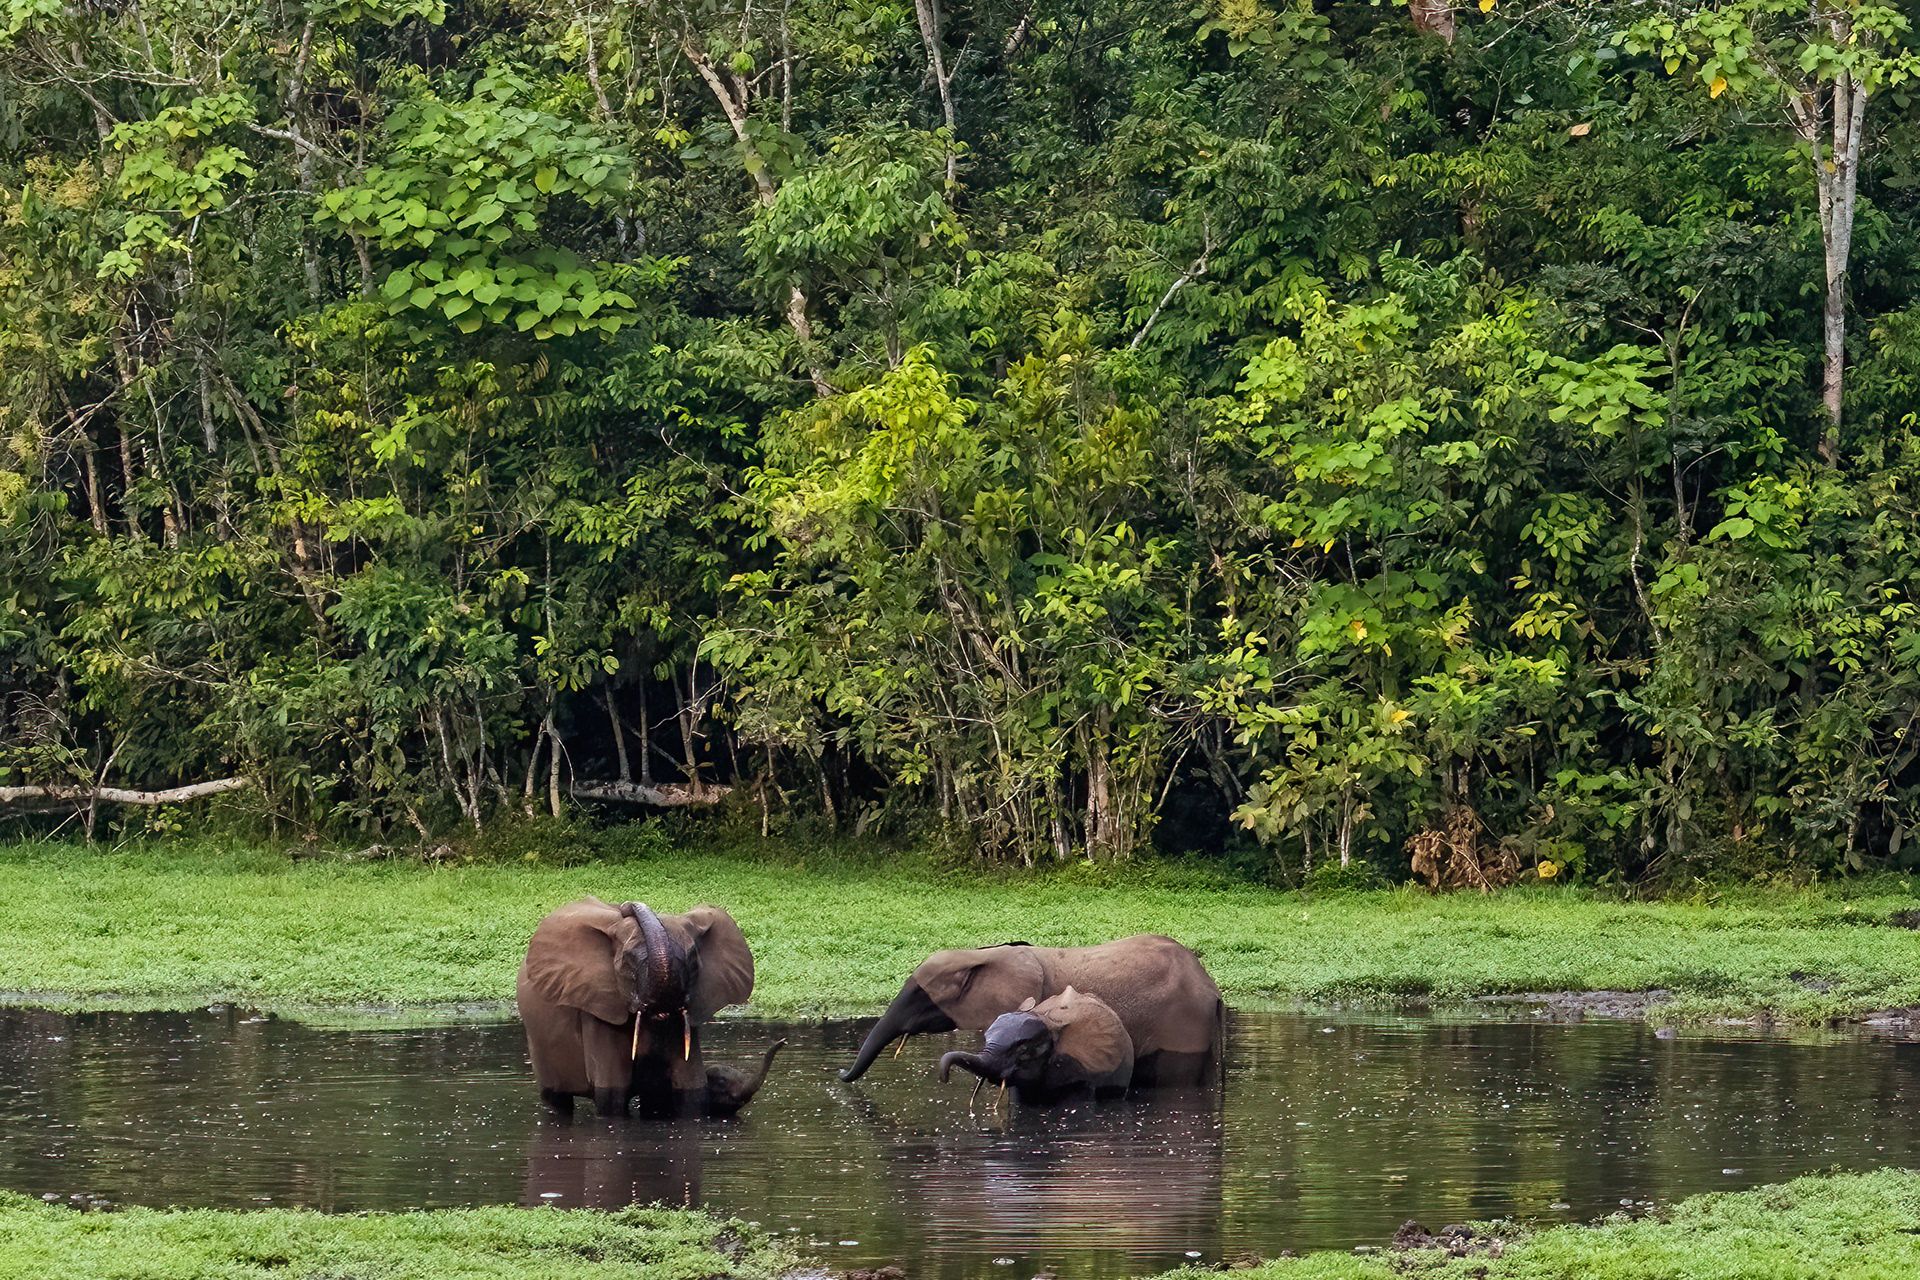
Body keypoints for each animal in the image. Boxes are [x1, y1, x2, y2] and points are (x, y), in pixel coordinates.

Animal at [516, 897, 775, 1117]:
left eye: (693, 959)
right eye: (628, 961)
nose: (625, 905)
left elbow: (692, 1092)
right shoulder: (600, 1010)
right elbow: (612, 1096)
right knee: (556, 1101)